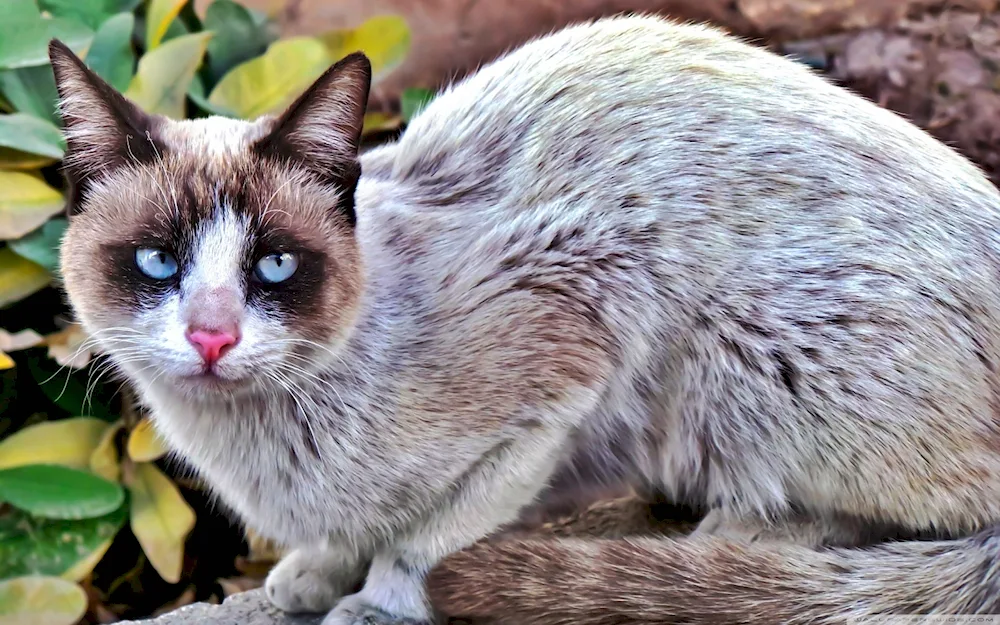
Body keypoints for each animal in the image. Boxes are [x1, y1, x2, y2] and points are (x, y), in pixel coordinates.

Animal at [48, 13, 1000, 624]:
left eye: (275, 264)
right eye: (157, 261)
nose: (211, 336)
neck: (253, 441)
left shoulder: (566, 349)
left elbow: (426, 541)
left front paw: (377, 603)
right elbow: (355, 535)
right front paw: (312, 576)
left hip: (747, 359)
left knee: (919, 520)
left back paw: (738, 533)